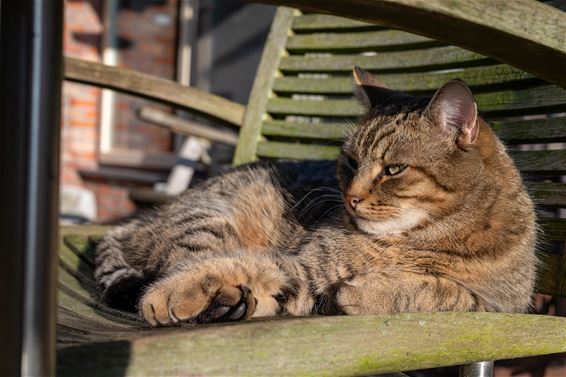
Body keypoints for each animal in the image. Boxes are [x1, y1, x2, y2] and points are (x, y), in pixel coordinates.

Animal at [93, 66, 536, 324]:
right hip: (209, 217)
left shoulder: (502, 307)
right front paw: (171, 294)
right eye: (350, 162)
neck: (418, 240)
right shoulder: (305, 266)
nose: (350, 198)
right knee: (186, 258)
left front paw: (371, 292)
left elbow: (442, 291)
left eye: (393, 169)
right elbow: (232, 265)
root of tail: (138, 221)